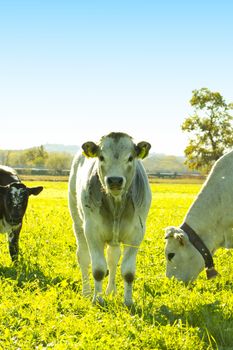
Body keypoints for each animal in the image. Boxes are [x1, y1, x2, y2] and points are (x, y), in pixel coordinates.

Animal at [68, 132, 151, 306]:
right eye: (101, 157)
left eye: (130, 158)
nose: (114, 180)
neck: (116, 205)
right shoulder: (92, 231)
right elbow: (98, 270)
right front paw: (97, 299)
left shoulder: (136, 234)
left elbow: (128, 272)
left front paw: (128, 302)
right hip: (78, 223)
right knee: (83, 257)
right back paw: (87, 292)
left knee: (113, 259)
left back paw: (111, 291)